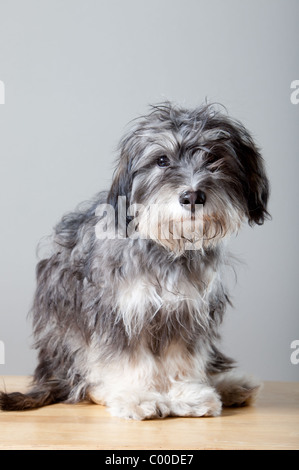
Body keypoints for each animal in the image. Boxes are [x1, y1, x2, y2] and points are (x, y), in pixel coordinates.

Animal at [0, 102, 270, 418]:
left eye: (214, 157)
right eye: (162, 160)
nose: (192, 196)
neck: (166, 246)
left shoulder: (185, 314)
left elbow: (182, 359)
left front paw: (187, 395)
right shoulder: (122, 313)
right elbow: (129, 360)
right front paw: (138, 396)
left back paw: (230, 385)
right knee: (84, 385)